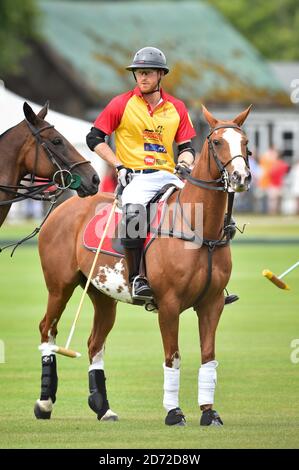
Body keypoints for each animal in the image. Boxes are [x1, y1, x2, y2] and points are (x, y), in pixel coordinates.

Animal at [34, 105, 253, 426]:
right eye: (216, 142)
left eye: (245, 142)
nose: (240, 177)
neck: (201, 229)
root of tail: (63, 206)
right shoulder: (170, 304)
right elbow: (173, 356)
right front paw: (174, 412)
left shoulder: (212, 303)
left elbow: (208, 356)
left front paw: (209, 412)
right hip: (59, 285)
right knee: (48, 330)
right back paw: (44, 403)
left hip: (103, 294)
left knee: (94, 343)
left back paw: (103, 407)